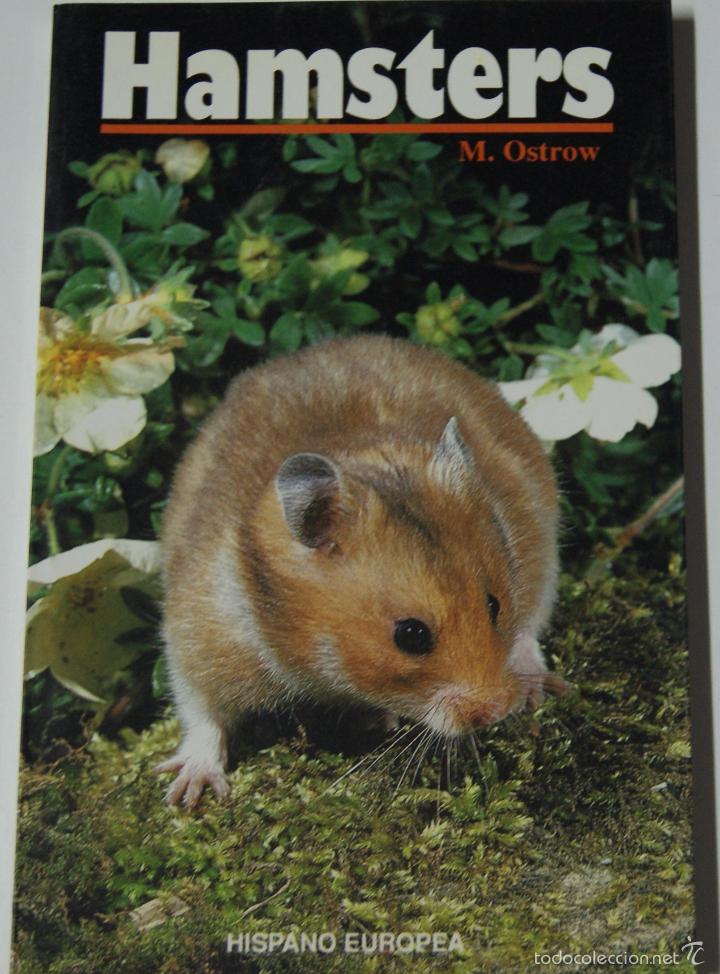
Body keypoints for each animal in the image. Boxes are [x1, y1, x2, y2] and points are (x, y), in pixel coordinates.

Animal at [155, 334, 562, 806]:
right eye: (411, 635)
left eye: (494, 605)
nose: (496, 710)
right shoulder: (201, 632)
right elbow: (201, 709)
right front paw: (188, 795)